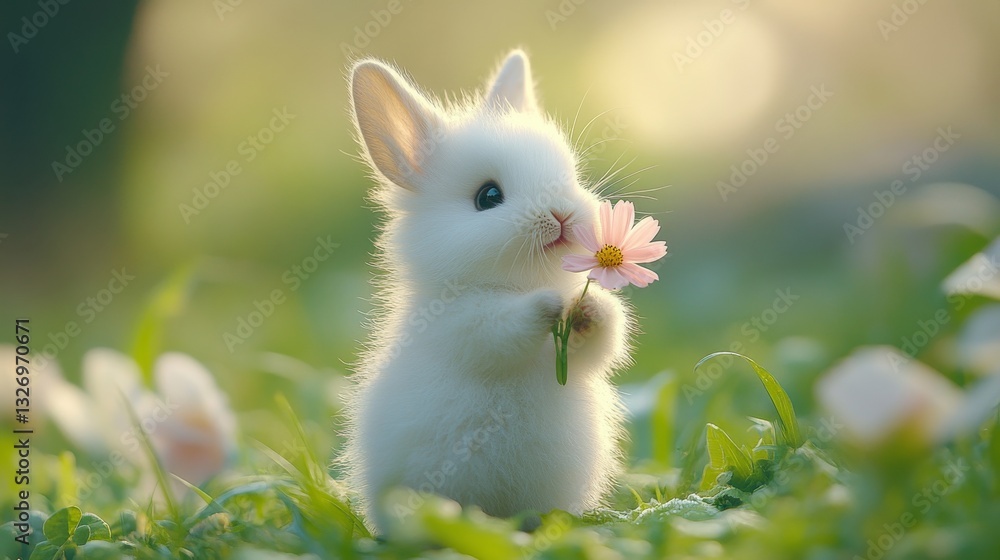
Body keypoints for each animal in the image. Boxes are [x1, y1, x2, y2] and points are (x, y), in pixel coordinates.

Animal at [342, 49, 632, 534]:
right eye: (488, 196)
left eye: (569, 176)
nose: (563, 215)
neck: (519, 281)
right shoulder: (461, 323)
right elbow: (501, 328)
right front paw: (551, 304)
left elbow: (604, 337)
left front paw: (587, 306)